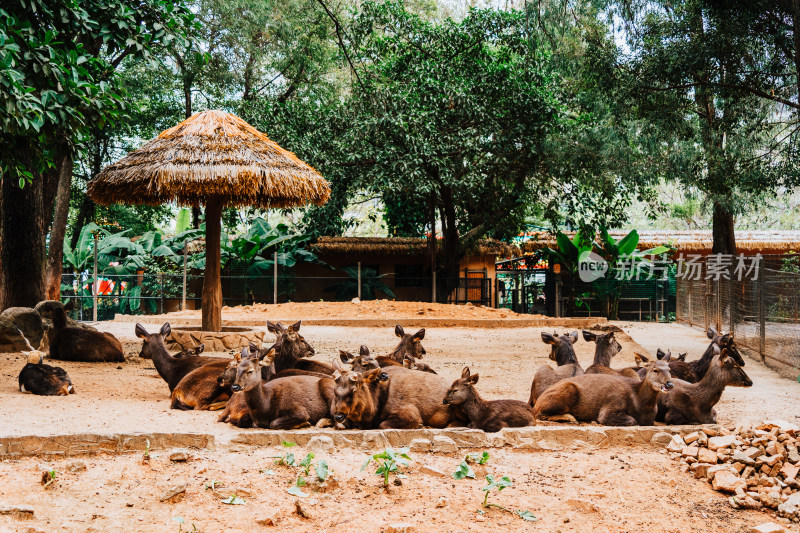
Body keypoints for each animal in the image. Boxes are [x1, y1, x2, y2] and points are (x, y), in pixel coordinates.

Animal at [536, 358, 672, 424]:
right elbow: (632, 420)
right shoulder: (609, 408)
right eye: (655, 370)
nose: (669, 384)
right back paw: (571, 417)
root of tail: (537, 402)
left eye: (669, 369)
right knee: (540, 414)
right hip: (567, 390)